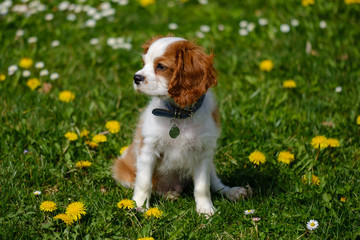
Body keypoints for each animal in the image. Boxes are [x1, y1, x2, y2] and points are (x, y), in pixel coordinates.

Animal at [114, 37, 249, 216]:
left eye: (160, 66)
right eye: (143, 63)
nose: (136, 77)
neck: (178, 113)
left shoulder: (204, 153)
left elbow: (203, 186)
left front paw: (205, 209)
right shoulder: (148, 148)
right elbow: (144, 182)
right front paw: (140, 205)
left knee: (215, 182)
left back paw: (231, 191)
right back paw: (168, 195)